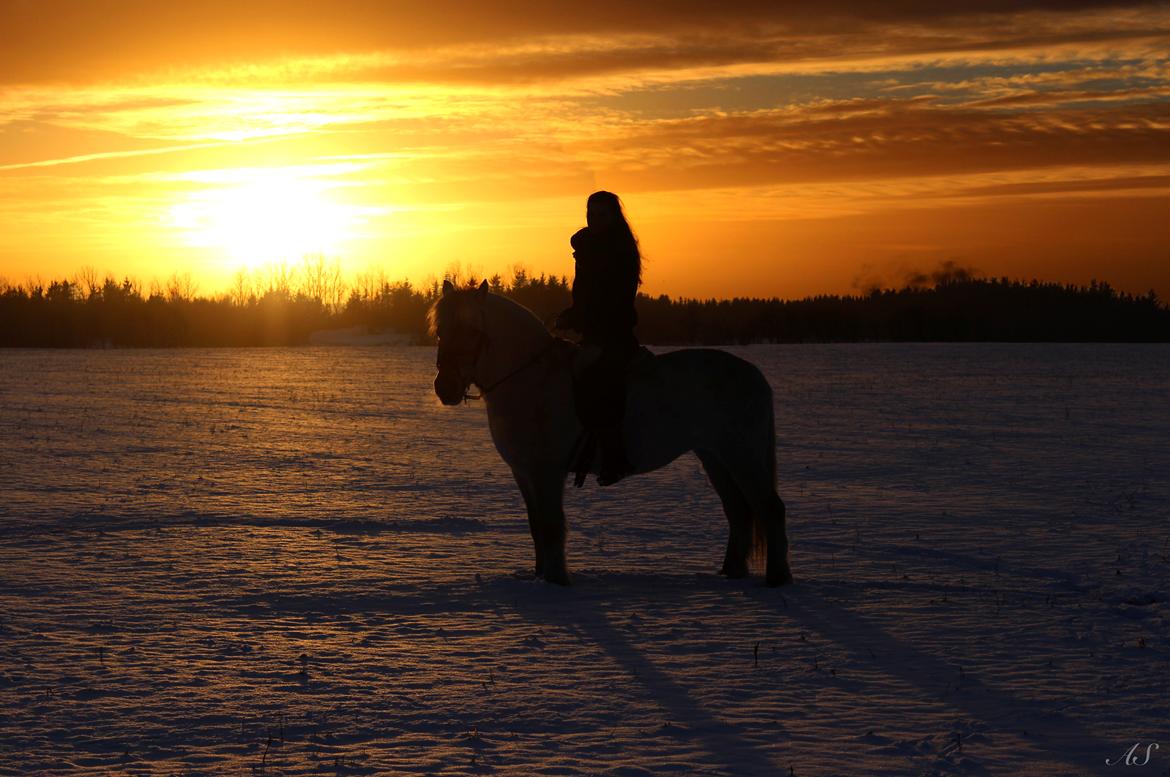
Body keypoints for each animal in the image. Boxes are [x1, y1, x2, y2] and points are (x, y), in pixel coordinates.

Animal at [432, 282, 795, 585]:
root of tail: (754, 376)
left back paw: (777, 579)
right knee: (737, 511)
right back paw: (731, 572)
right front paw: (540, 578)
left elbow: (552, 527)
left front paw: (556, 580)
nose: (444, 388)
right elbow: (536, 527)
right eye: (439, 332)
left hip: (740, 454)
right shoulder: (524, 473)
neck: (533, 379)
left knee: (770, 508)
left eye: (472, 331)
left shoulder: (548, 471)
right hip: (715, 456)